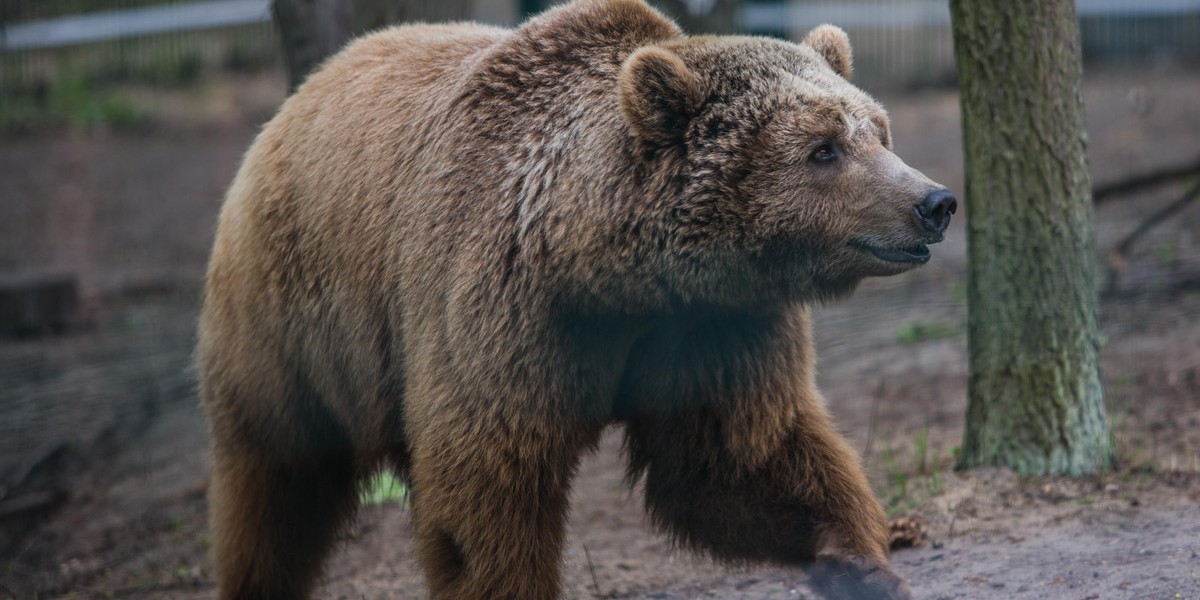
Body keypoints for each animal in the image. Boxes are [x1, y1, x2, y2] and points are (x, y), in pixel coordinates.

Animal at [196, 1, 955, 600]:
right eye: (823, 148)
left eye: (876, 129)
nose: (934, 202)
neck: (606, 271)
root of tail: (299, 96)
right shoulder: (503, 310)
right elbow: (488, 488)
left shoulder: (710, 323)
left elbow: (740, 459)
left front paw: (859, 561)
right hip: (291, 316)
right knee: (275, 485)